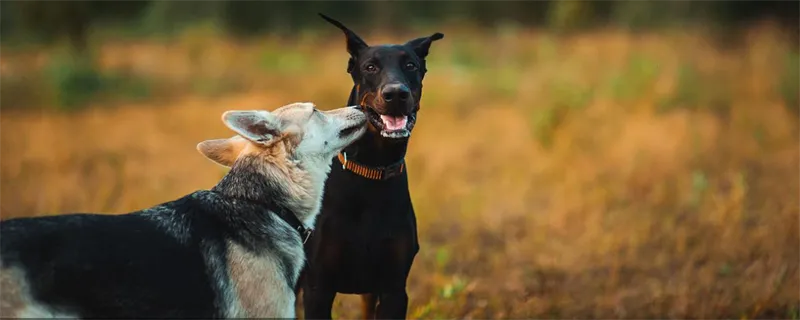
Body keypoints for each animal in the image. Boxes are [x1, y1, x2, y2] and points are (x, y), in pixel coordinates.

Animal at [298, 13, 440, 320]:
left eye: (411, 65)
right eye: (370, 67)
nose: (396, 94)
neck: (372, 169)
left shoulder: (393, 288)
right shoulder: (317, 288)